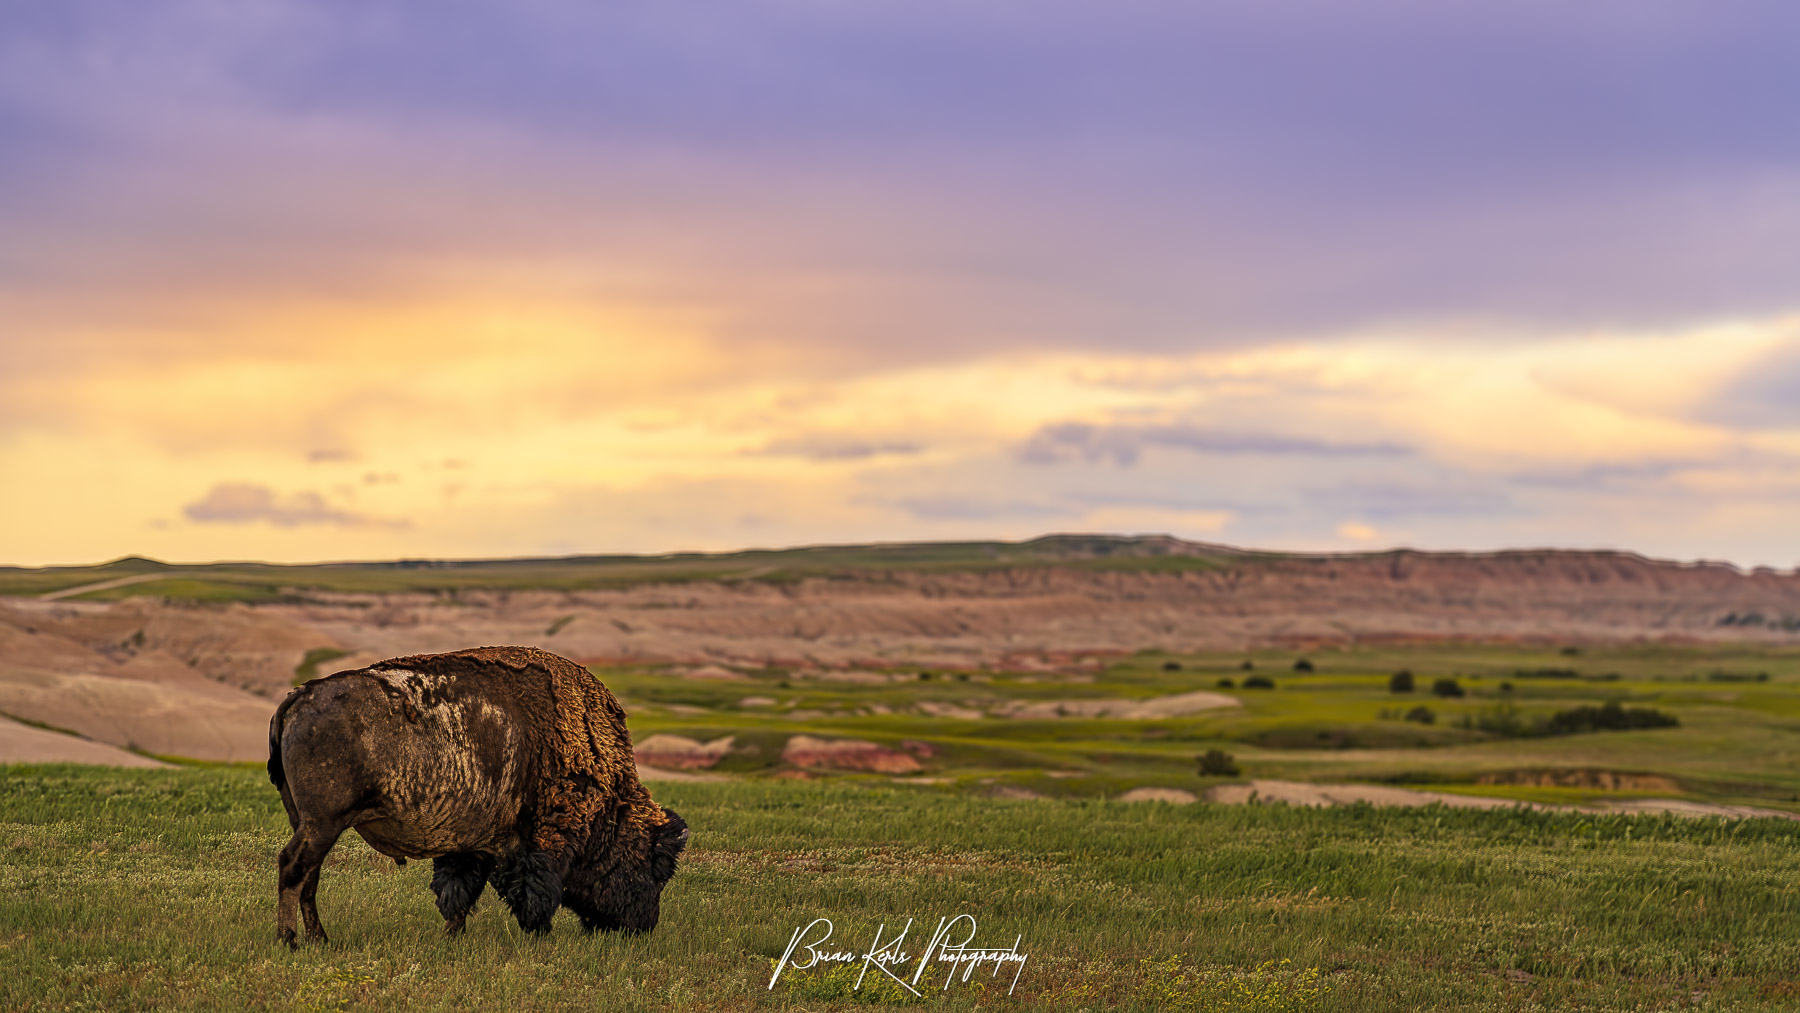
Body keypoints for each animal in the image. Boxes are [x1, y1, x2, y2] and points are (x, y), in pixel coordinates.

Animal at [267, 646, 687, 946]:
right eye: (653, 866)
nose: (643, 925)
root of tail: (302, 694)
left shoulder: (472, 844)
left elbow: (458, 892)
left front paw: (453, 935)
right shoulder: (532, 843)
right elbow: (533, 891)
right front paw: (540, 934)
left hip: (310, 823)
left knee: (309, 877)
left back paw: (320, 939)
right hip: (323, 823)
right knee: (293, 867)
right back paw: (290, 940)